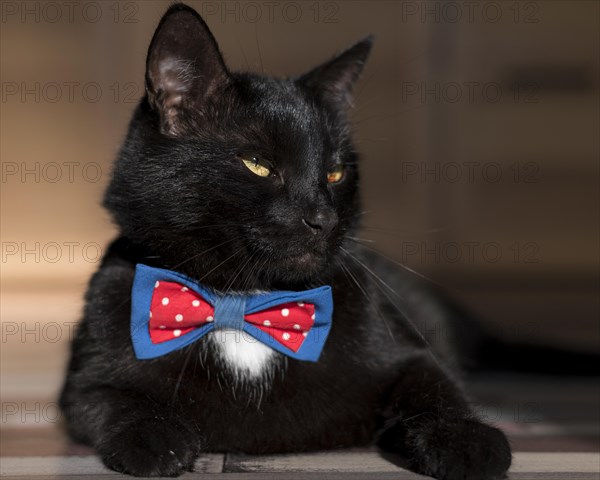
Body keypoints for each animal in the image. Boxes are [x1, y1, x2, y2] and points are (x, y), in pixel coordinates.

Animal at [59, 4, 510, 480]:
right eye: (258, 164)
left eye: (335, 172)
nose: (323, 218)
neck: (243, 301)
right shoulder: (84, 381)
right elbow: (112, 400)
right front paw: (155, 438)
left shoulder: (409, 353)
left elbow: (438, 387)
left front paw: (468, 440)